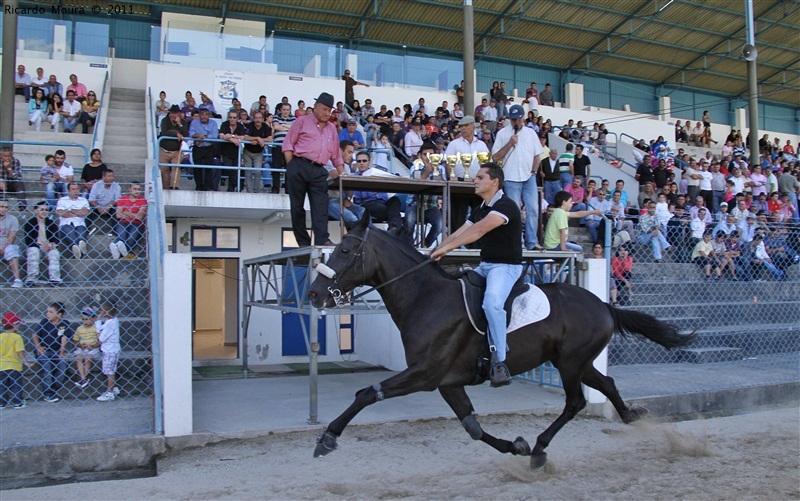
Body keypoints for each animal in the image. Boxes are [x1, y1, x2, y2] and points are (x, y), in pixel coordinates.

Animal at [306, 212, 692, 468]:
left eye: (344, 251)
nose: (313, 293)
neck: (425, 297)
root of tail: (602, 305)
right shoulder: (448, 382)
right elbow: (473, 428)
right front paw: (514, 446)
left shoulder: (424, 374)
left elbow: (367, 393)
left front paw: (327, 438)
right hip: (574, 361)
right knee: (606, 384)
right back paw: (628, 417)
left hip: (570, 363)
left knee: (575, 403)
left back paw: (540, 448)